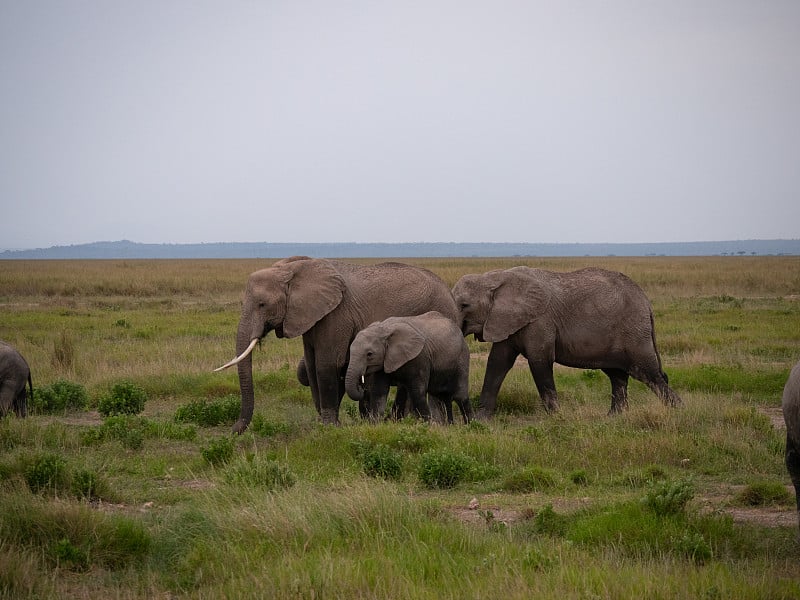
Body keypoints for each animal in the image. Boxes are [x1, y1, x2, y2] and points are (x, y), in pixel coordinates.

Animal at [342, 312, 472, 424]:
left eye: (369, 354)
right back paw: (447, 426)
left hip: (462, 358)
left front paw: (427, 425)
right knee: (439, 397)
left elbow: (418, 393)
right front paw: (375, 424)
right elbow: (379, 392)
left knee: (460, 396)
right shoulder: (384, 361)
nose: (361, 387)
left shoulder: (420, 357)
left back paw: (469, 425)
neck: (384, 329)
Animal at [450, 268, 680, 418]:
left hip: (634, 332)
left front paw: (556, 417)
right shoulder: (504, 320)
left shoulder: (540, 321)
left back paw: (678, 411)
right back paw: (613, 418)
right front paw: (480, 420)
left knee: (649, 374)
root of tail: (647, 303)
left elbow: (539, 362)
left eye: (464, 305)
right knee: (617, 376)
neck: (494, 277)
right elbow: (497, 362)